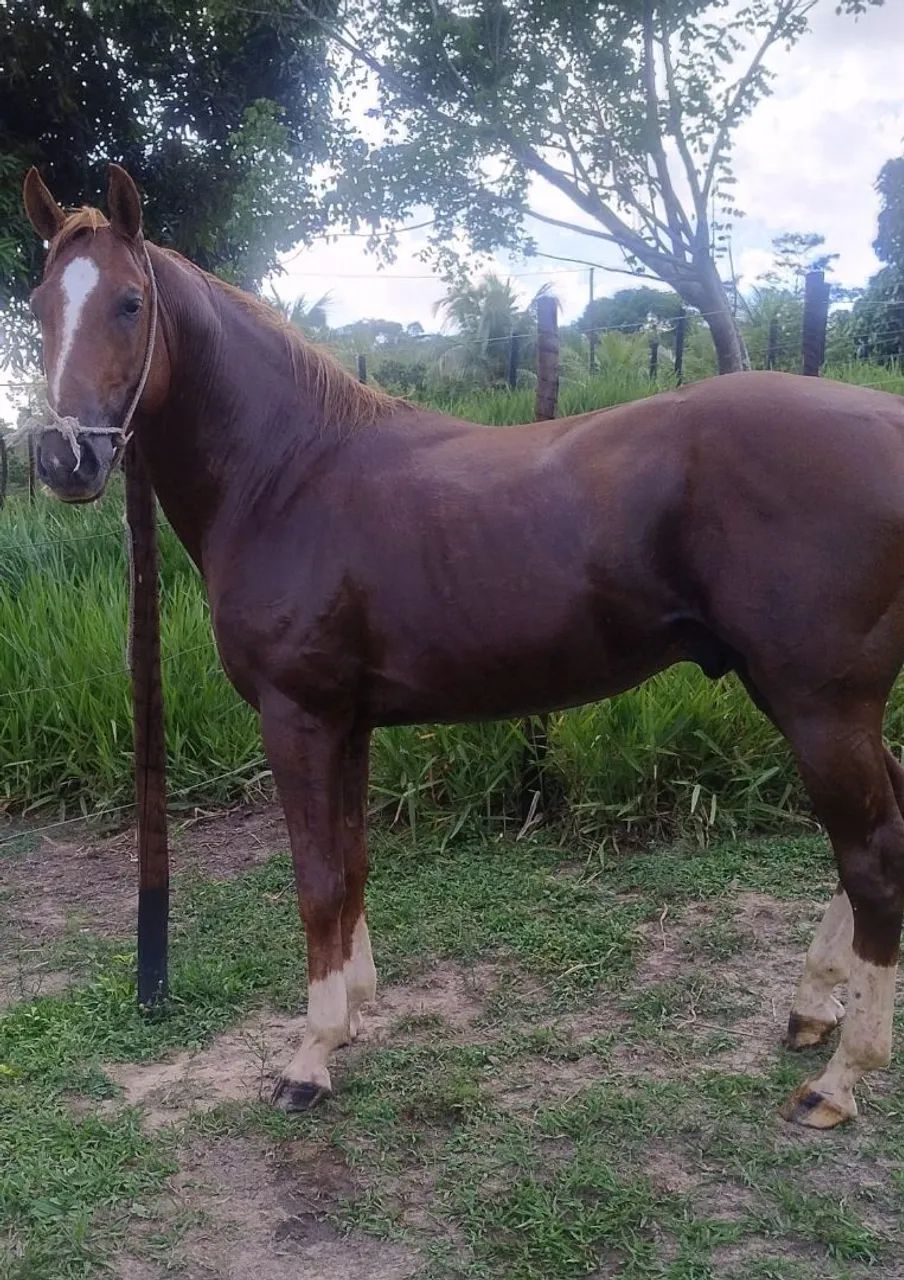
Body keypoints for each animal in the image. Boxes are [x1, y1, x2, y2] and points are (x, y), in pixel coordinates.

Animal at [21, 163, 904, 1129]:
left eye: (130, 303)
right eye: (37, 304)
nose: (64, 460)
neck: (290, 474)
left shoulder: (300, 718)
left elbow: (317, 878)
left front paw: (310, 1057)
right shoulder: (348, 723)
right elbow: (353, 862)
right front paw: (353, 1015)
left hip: (819, 706)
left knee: (873, 857)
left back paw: (840, 1079)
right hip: (816, 702)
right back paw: (813, 1008)